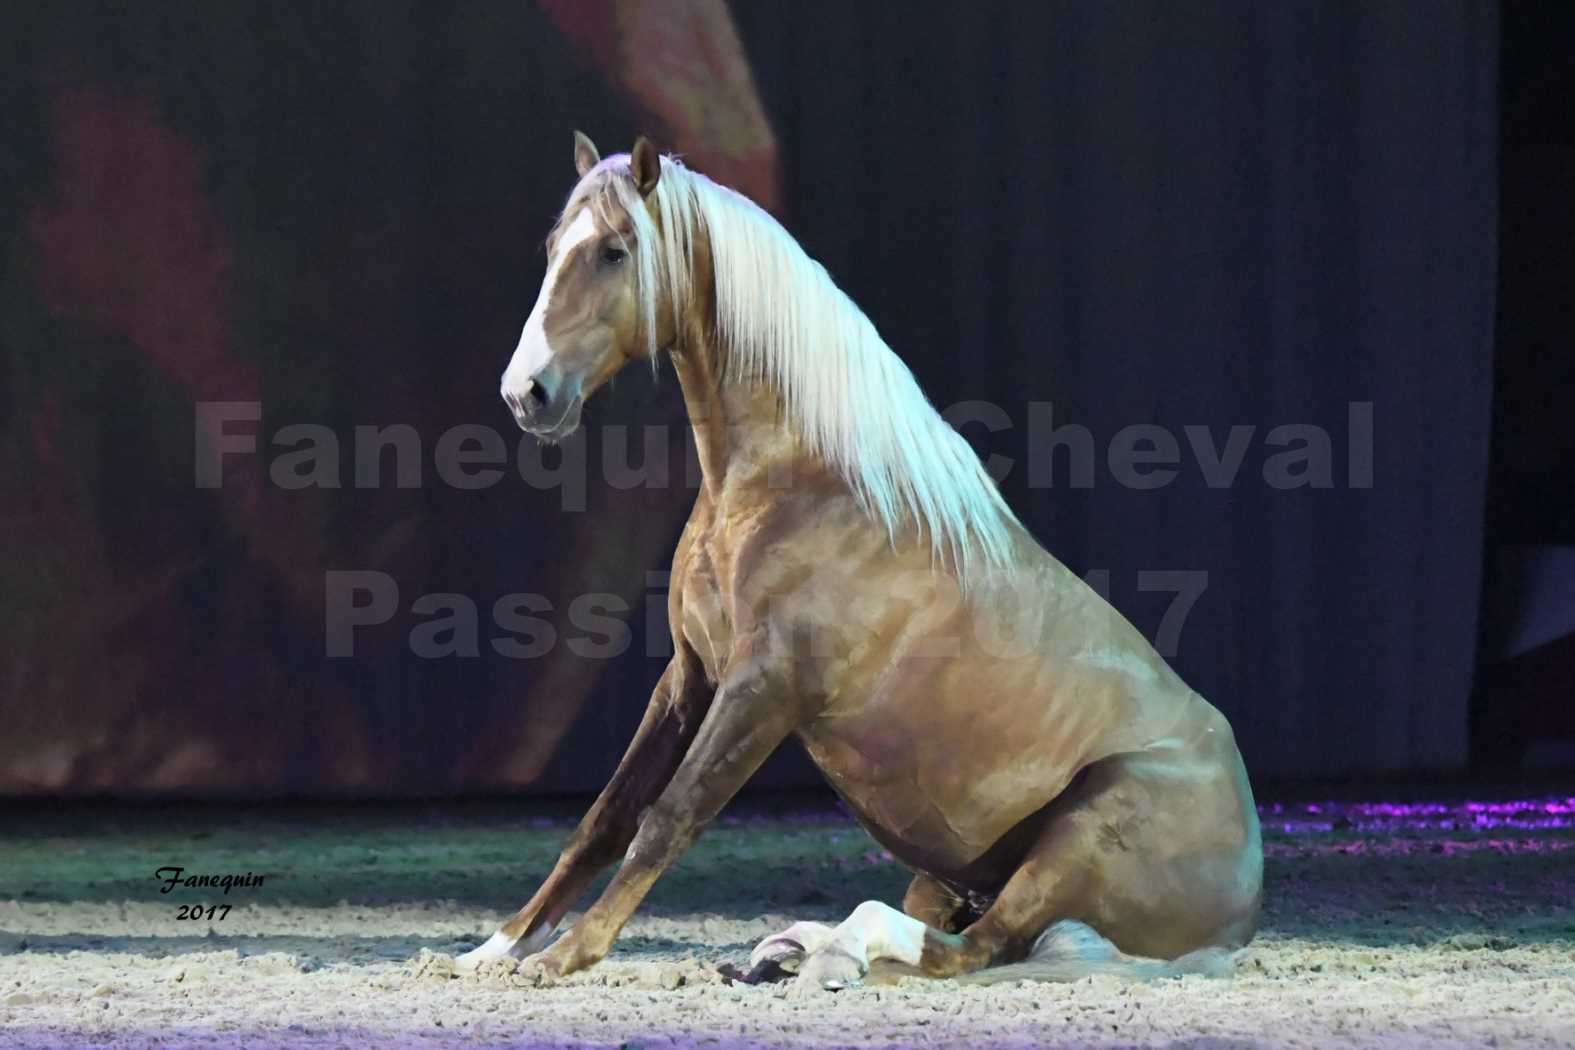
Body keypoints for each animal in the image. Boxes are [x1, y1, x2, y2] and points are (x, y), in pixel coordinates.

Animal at [459, 129, 1260, 988]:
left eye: (614, 251)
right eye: (554, 249)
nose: (526, 393)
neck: (805, 485)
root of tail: (1241, 907)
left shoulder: (762, 690)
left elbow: (670, 815)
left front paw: (568, 954)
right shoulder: (689, 675)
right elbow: (605, 817)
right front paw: (496, 948)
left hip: (1074, 839)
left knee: (963, 950)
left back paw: (830, 950)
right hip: (952, 874)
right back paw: (792, 949)